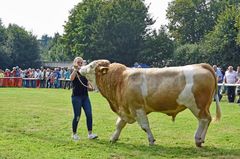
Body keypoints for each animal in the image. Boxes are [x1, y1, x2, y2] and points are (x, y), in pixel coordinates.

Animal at [79, 59, 220, 147]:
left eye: (91, 66)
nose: (80, 68)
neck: (120, 80)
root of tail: (201, 65)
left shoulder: (137, 108)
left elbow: (145, 126)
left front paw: (151, 140)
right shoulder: (125, 109)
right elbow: (119, 124)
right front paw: (114, 138)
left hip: (197, 106)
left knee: (203, 120)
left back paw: (198, 139)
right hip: (204, 106)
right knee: (208, 119)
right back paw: (202, 139)